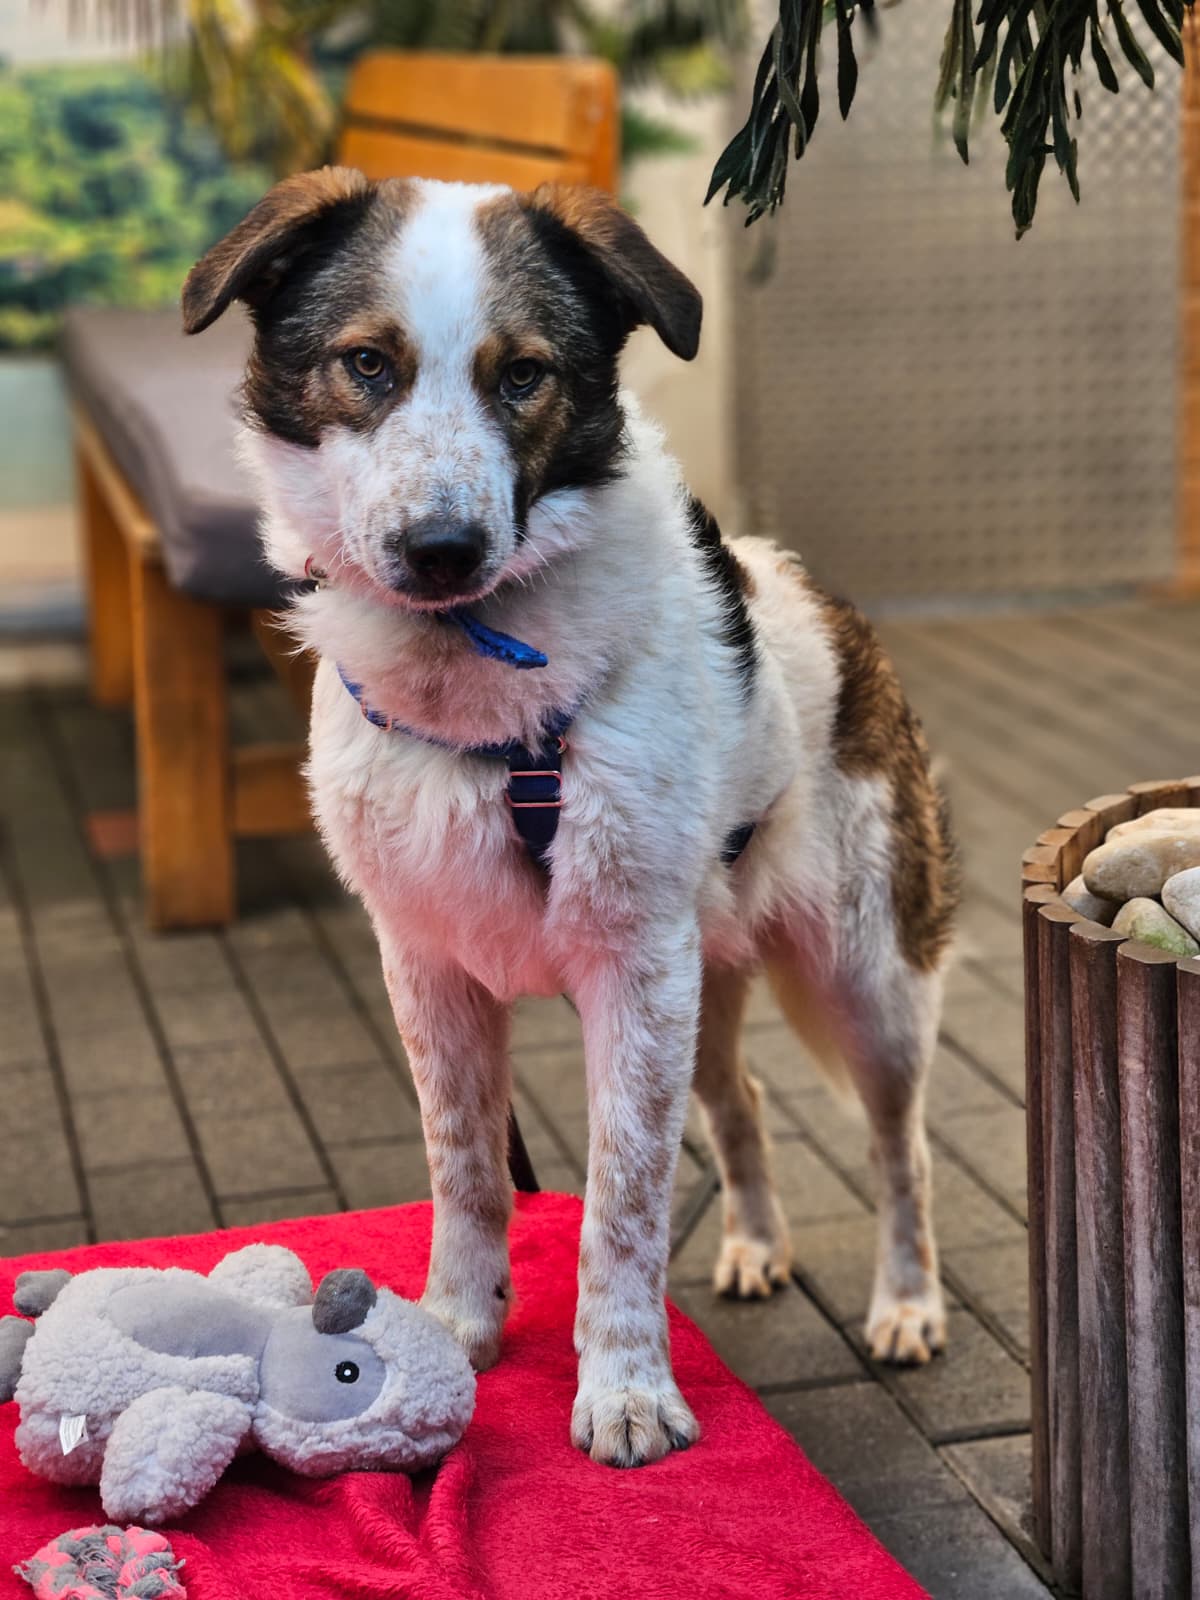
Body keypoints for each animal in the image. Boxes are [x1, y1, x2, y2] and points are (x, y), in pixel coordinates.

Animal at [183, 169, 959, 1469]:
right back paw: (756, 1244)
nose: (441, 551)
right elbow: (465, 1169)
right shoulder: (429, 962)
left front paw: (628, 1387)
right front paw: (455, 1325)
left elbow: (624, 1205)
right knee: (742, 1103)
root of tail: (827, 600)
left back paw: (907, 1303)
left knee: (899, 1150)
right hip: (712, 969)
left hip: (866, 981)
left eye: (524, 374)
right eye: (368, 363)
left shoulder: (634, 975)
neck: (475, 678)